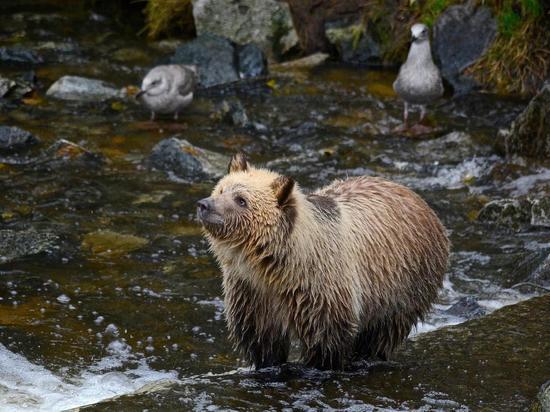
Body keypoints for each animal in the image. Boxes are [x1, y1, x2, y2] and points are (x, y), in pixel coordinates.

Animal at [198, 154, 452, 370]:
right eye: (221, 189)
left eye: (241, 200)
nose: (205, 205)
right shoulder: (252, 291)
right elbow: (262, 338)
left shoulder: (320, 287)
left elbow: (325, 339)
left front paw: (318, 366)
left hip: (403, 281)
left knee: (383, 330)